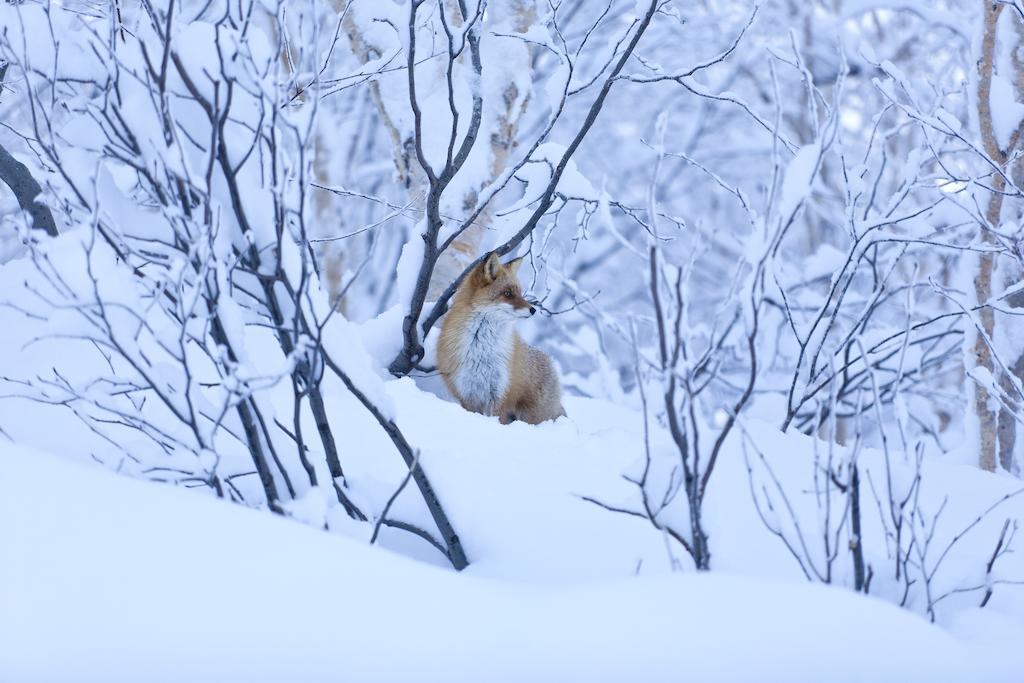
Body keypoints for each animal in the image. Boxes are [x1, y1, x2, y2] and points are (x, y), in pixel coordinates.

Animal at [436, 252, 565, 421]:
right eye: (508, 293)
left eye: (520, 293)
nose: (533, 310)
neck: (481, 350)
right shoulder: (467, 392)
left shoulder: (500, 393)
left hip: (530, 415)